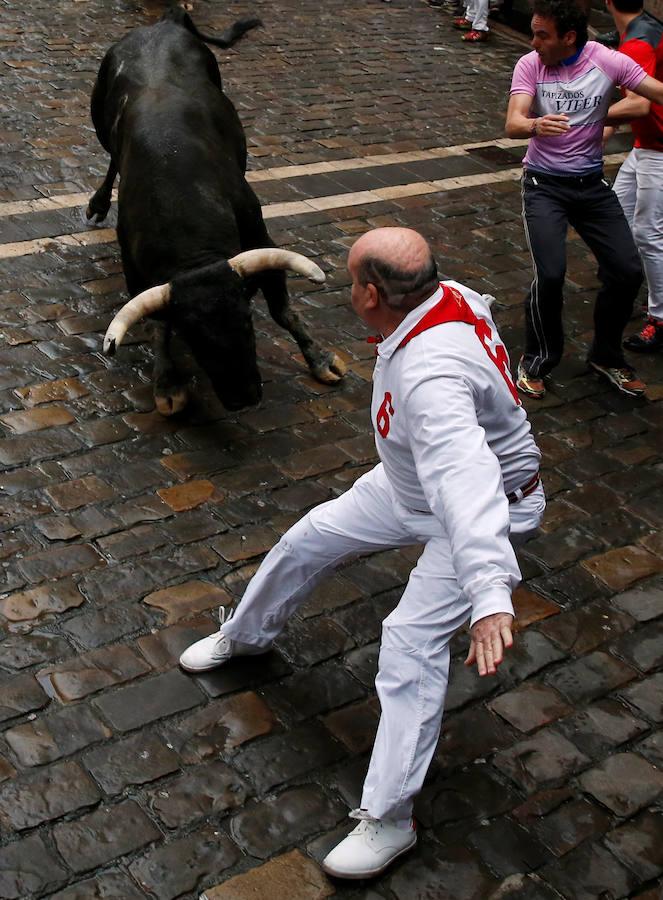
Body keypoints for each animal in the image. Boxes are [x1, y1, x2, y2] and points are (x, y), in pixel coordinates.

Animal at [88, 8, 344, 416]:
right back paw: (97, 202)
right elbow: (158, 327)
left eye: (247, 321)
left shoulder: (260, 237)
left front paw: (319, 359)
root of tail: (164, 21)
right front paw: (168, 383)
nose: (244, 398)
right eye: (194, 336)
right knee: (112, 156)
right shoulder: (135, 266)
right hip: (98, 117)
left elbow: (283, 310)